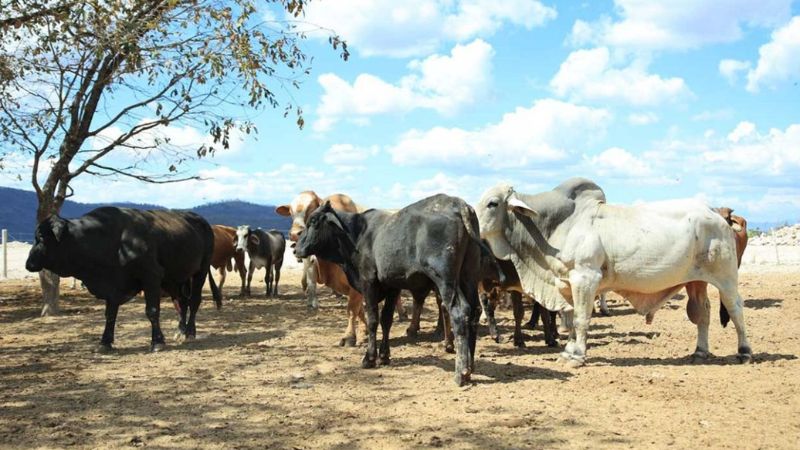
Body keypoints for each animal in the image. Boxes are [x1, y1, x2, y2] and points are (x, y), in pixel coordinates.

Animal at [24, 207, 220, 352]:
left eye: (41, 238)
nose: (28, 263)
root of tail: (199, 219)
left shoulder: (151, 276)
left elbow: (152, 310)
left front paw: (157, 342)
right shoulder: (113, 286)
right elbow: (110, 314)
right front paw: (105, 342)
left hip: (200, 271)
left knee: (194, 301)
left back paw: (190, 332)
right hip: (177, 278)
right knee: (182, 302)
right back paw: (180, 331)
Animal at [294, 194, 482, 386]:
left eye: (313, 222)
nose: (296, 249)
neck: (358, 233)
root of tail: (459, 204)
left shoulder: (368, 282)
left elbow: (373, 320)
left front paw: (369, 358)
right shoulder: (393, 286)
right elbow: (386, 320)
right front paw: (384, 356)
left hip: (445, 278)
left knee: (459, 312)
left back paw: (461, 373)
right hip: (468, 276)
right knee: (474, 311)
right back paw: (470, 366)